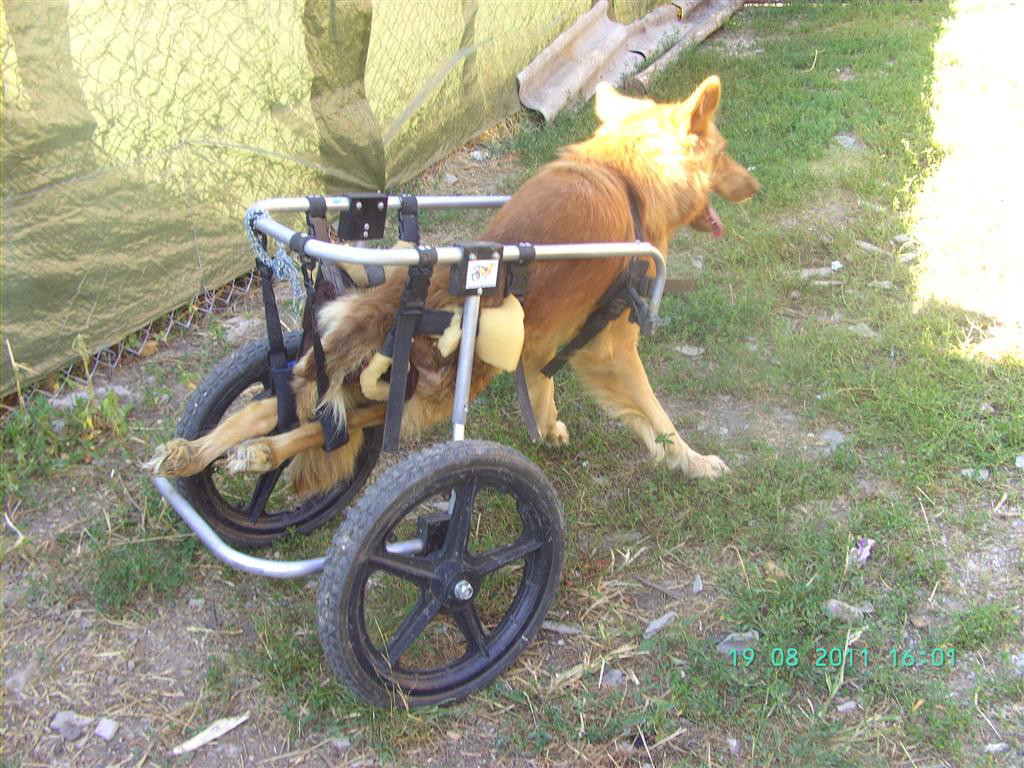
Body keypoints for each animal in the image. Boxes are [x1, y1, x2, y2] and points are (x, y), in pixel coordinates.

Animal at [146, 76, 759, 496]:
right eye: (726, 151)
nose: (755, 185)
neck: (625, 173)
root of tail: (389, 301)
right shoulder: (613, 343)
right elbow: (657, 418)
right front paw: (692, 461)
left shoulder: (541, 333)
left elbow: (541, 381)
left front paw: (546, 427)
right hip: (440, 392)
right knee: (321, 428)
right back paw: (251, 455)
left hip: (370, 373)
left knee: (284, 407)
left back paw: (198, 454)